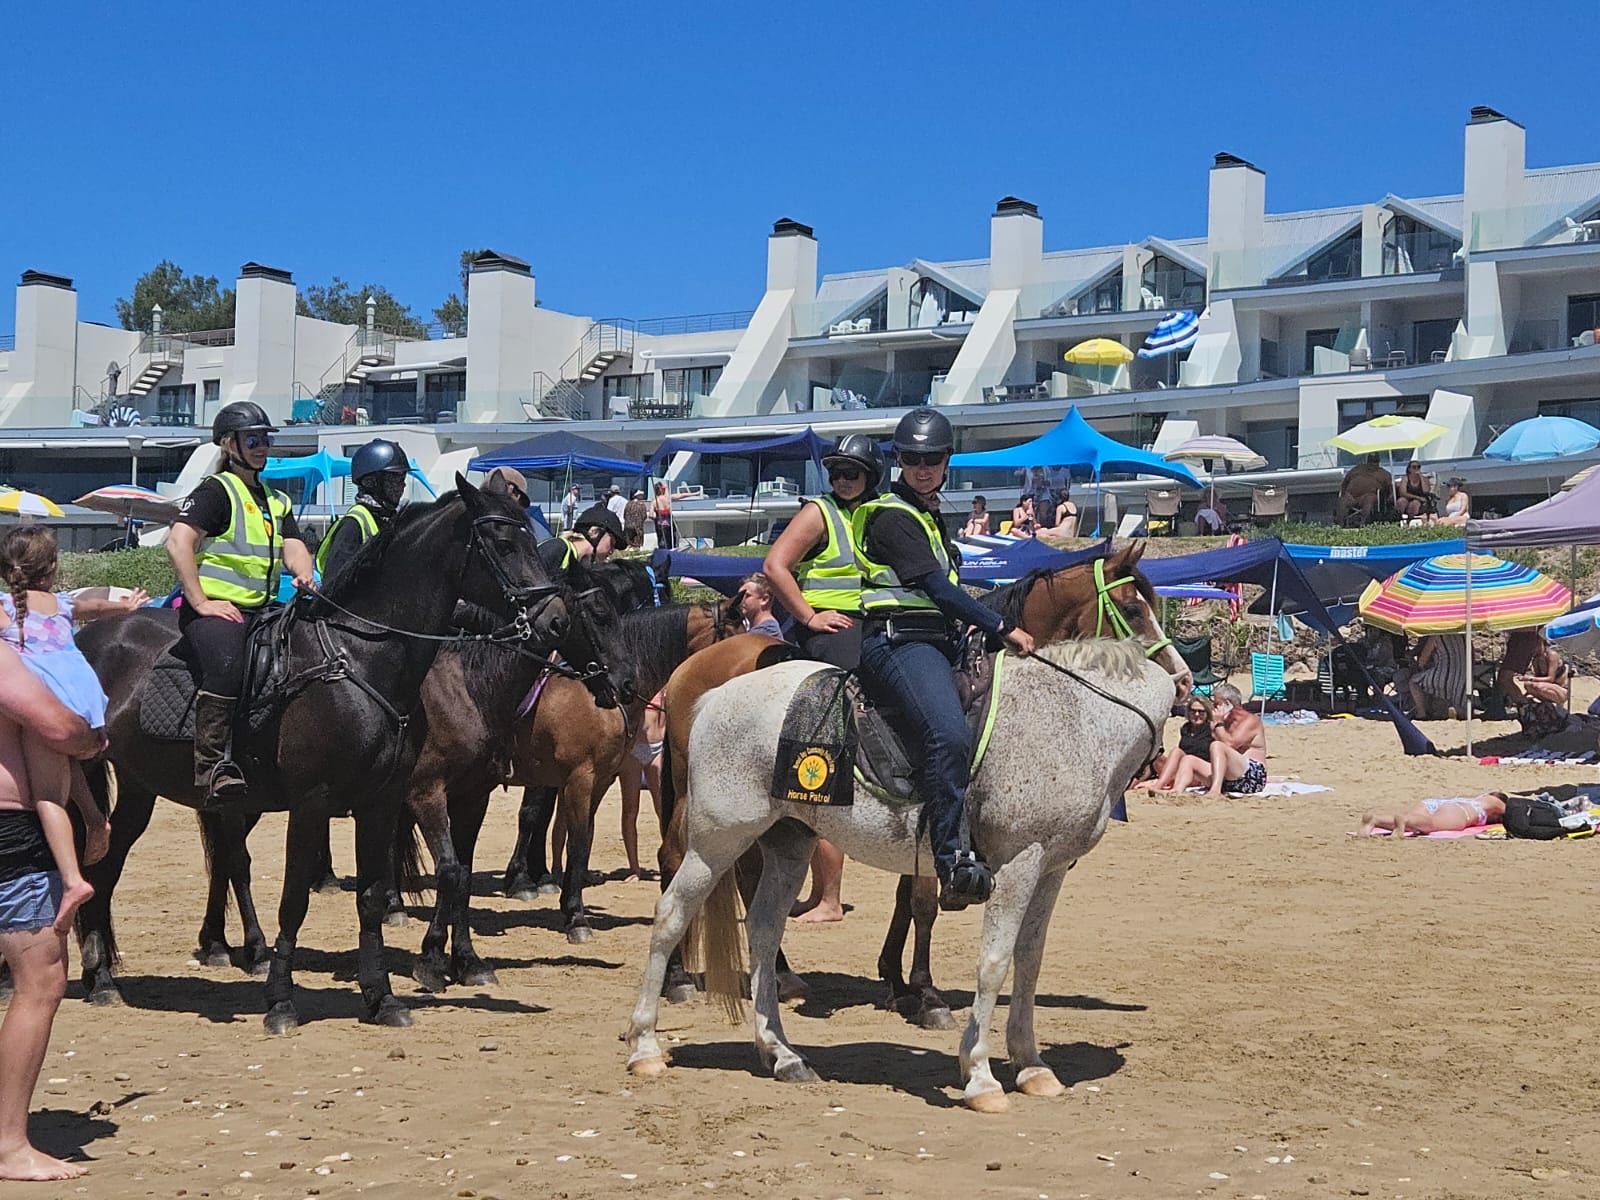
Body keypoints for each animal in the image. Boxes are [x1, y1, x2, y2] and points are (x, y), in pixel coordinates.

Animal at [81, 476, 572, 1036]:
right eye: (506, 544)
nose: (557, 620)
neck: (357, 660)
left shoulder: (381, 802)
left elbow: (374, 898)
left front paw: (382, 997)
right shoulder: (314, 802)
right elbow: (295, 897)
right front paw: (281, 1001)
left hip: (140, 787)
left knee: (106, 870)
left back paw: (101, 976)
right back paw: (107, 976)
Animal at [624, 640, 1177, 1120]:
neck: (1076, 714)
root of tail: (713, 694)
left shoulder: (1051, 870)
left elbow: (1029, 962)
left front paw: (1032, 1065)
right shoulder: (1019, 863)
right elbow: (995, 964)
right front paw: (980, 1076)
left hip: (789, 844)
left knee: (762, 930)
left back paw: (782, 1054)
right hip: (716, 841)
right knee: (671, 916)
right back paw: (645, 1046)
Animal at [649, 544, 1190, 1024]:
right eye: (1132, 608)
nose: (1184, 681)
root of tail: (692, 670)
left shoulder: (930, 826)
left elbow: (909, 900)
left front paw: (897, 981)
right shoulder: (941, 805)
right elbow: (924, 903)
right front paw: (926, 995)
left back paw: (776, 973)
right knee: (676, 860)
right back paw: (681, 977)